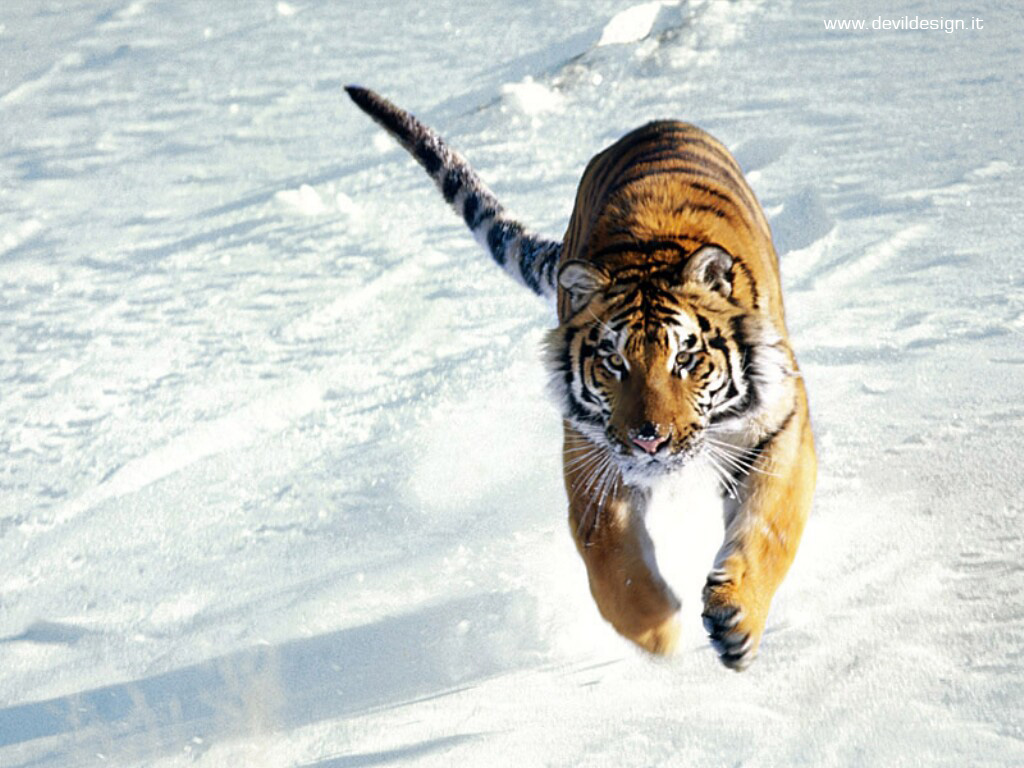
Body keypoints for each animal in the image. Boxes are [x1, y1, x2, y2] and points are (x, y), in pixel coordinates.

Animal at [346, 85, 816, 671]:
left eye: (685, 359)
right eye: (614, 362)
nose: (649, 440)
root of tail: (653, 123)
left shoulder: (779, 427)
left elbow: (770, 528)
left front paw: (736, 621)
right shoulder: (591, 455)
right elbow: (612, 561)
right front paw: (657, 631)